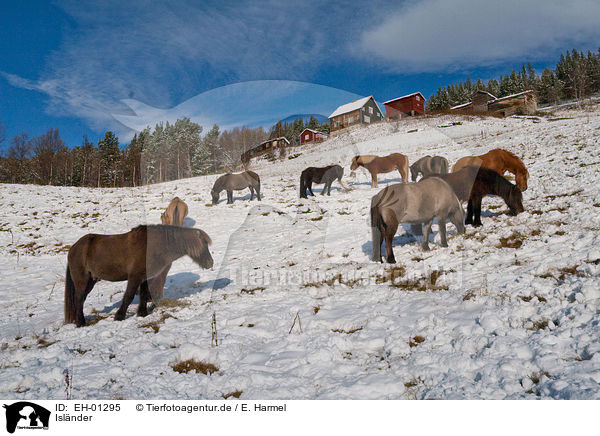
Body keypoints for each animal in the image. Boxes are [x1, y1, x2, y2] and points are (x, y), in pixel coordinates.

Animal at [63, 227, 212, 326]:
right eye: (204, 244)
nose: (210, 262)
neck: (152, 245)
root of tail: (74, 248)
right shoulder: (134, 277)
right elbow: (129, 296)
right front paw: (119, 316)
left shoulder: (145, 278)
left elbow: (144, 295)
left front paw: (142, 313)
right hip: (82, 281)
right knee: (79, 299)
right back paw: (81, 322)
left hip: (91, 281)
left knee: (81, 300)